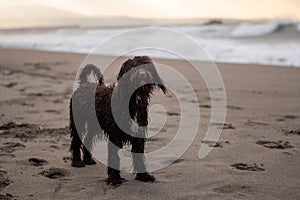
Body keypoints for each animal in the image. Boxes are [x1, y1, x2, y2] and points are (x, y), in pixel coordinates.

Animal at [69, 55, 166, 185]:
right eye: (133, 67)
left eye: (146, 66)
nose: (142, 74)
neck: (133, 100)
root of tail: (84, 84)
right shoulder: (115, 136)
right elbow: (114, 158)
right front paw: (115, 179)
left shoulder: (138, 135)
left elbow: (139, 157)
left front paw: (143, 176)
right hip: (78, 121)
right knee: (76, 141)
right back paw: (77, 161)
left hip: (94, 124)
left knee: (87, 139)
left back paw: (88, 160)